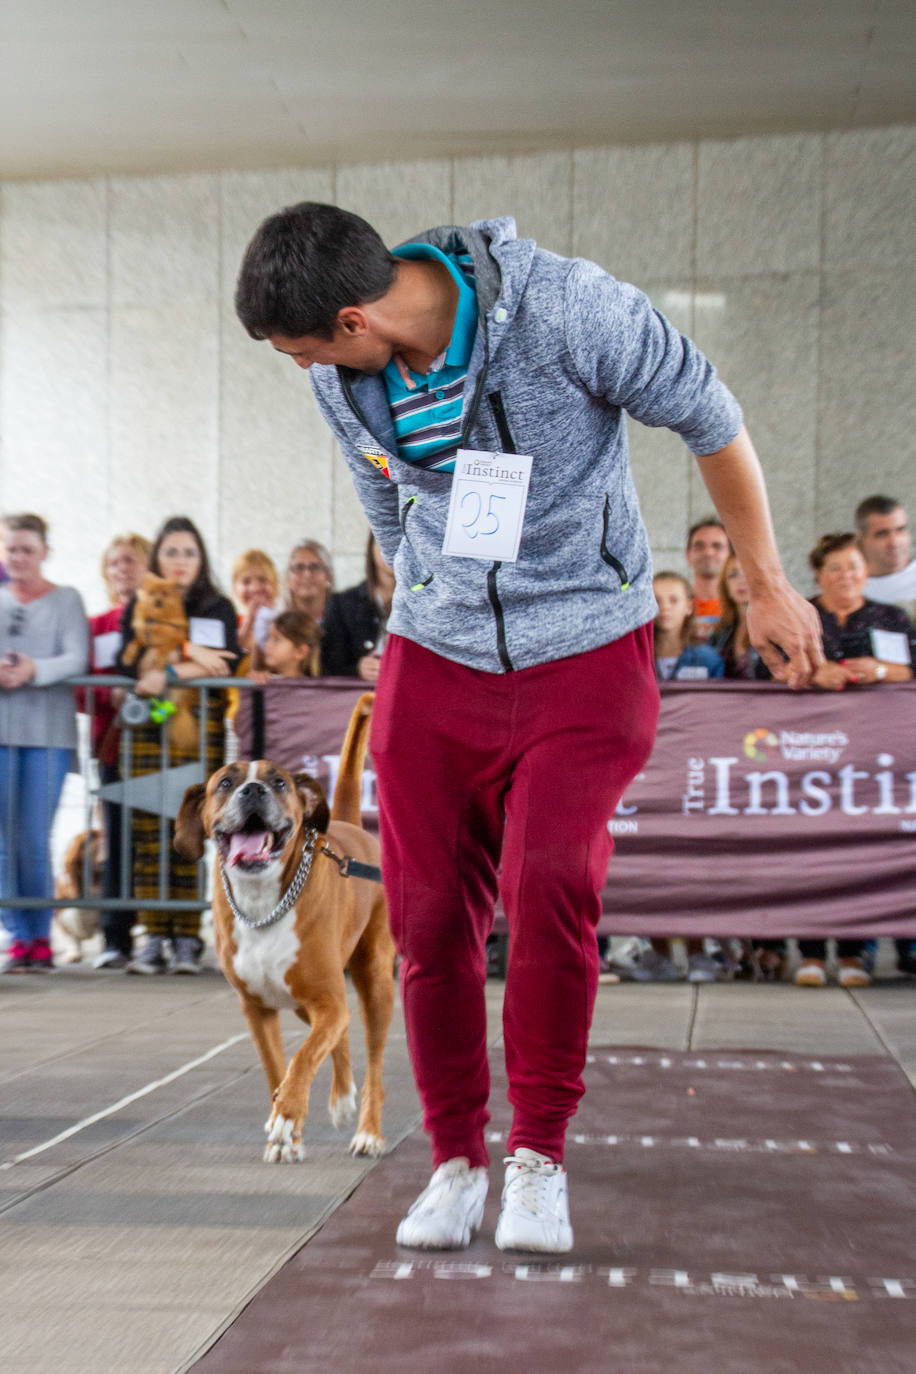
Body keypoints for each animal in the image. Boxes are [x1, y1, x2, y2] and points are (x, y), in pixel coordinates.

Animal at [120, 577, 197, 758]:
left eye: (164, 593)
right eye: (152, 593)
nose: (158, 601)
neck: (156, 619)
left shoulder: (178, 637)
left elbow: (164, 647)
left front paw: (160, 659)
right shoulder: (143, 636)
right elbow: (135, 643)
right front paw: (128, 657)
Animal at [173, 697, 395, 1159]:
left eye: (279, 782)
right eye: (225, 782)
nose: (253, 790)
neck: (264, 903)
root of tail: (352, 826)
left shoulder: (327, 1000)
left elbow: (303, 1058)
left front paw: (288, 1116)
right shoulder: (258, 1009)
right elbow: (279, 1067)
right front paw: (287, 1134)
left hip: (375, 982)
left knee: (374, 1061)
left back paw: (369, 1132)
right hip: (304, 1002)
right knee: (340, 1037)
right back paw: (341, 1097)